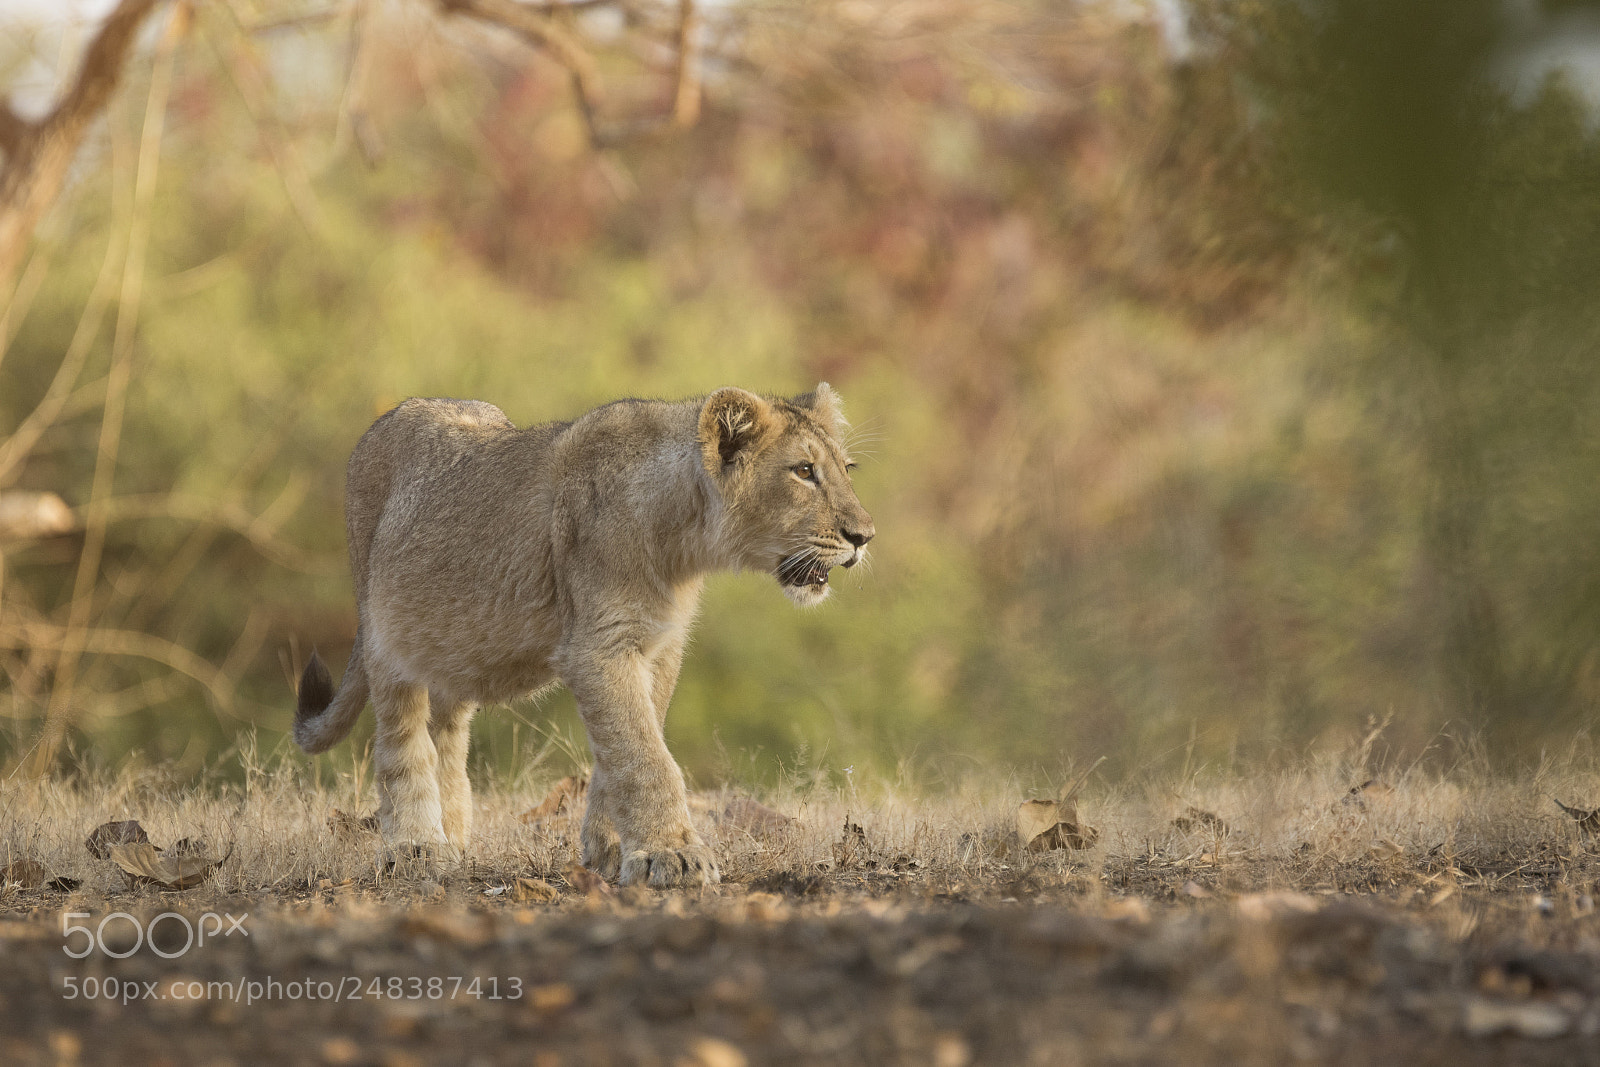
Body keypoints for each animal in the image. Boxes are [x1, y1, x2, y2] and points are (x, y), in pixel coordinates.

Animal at [293, 385, 874, 887]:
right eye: (804, 471)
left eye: (846, 470)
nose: (864, 536)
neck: (682, 540)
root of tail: (389, 417)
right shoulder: (599, 647)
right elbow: (644, 756)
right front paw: (673, 855)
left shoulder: (658, 647)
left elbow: (623, 747)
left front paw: (612, 850)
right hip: (387, 635)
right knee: (401, 740)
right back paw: (416, 848)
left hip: (453, 649)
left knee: (448, 735)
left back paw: (453, 841)